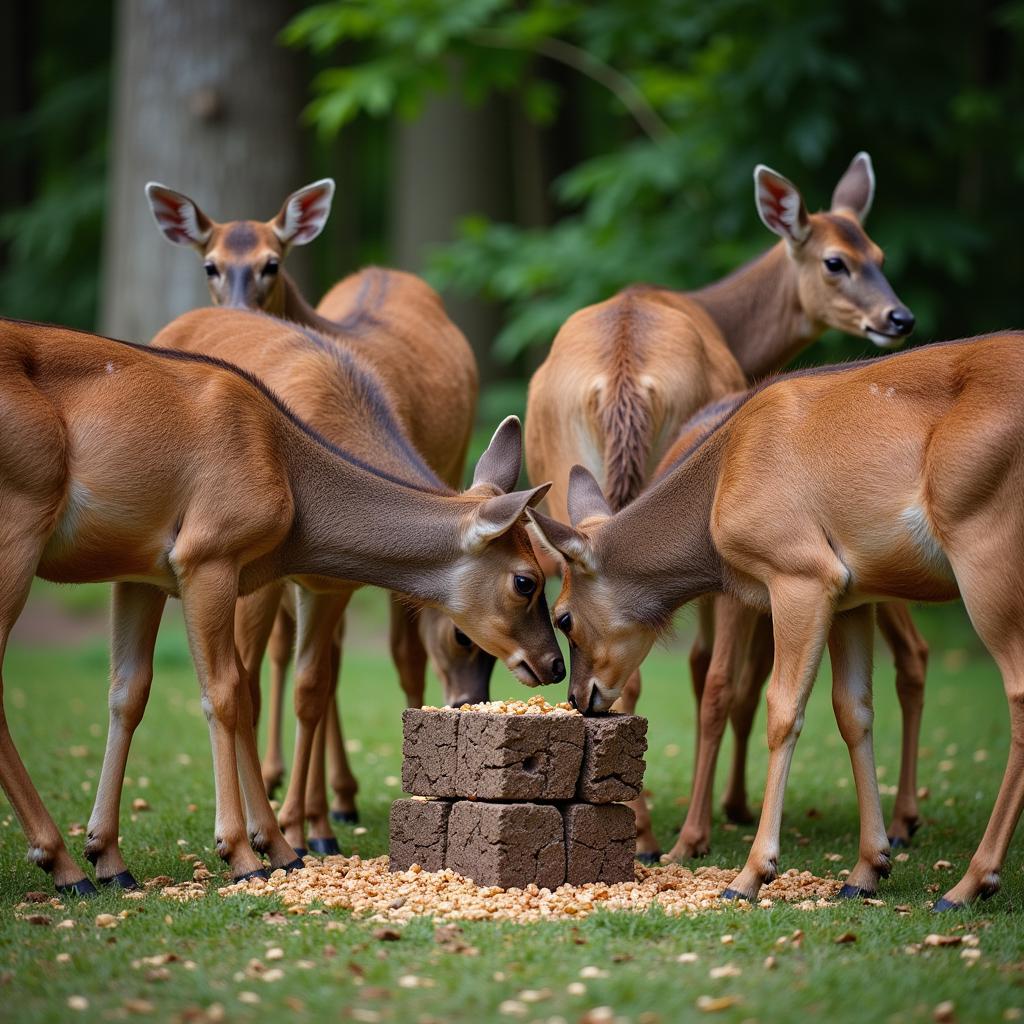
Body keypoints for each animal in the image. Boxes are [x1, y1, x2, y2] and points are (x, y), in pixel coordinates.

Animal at [0, 313, 561, 897]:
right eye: (526, 581)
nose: (553, 663)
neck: (289, 484)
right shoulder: (207, 553)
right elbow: (227, 692)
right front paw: (247, 851)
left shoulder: (141, 570)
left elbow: (130, 691)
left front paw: (111, 854)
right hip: (20, 511)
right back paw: (59, 862)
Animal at [145, 180, 491, 843]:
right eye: (209, 265)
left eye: (271, 264)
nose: (469, 703)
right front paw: (297, 816)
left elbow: (340, 666)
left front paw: (315, 812)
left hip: (459, 450)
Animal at [524, 151, 925, 860]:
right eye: (836, 261)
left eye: (878, 251)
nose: (899, 318)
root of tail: (621, 372)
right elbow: (720, 676)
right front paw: (727, 809)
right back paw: (657, 833)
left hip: (560, 478)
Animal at [532, 331, 1024, 909]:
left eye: (563, 617)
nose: (577, 696)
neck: (721, 484)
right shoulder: (852, 596)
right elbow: (853, 711)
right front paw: (867, 868)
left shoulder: (801, 573)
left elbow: (783, 710)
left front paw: (751, 873)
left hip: (984, 544)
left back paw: (970, 881)